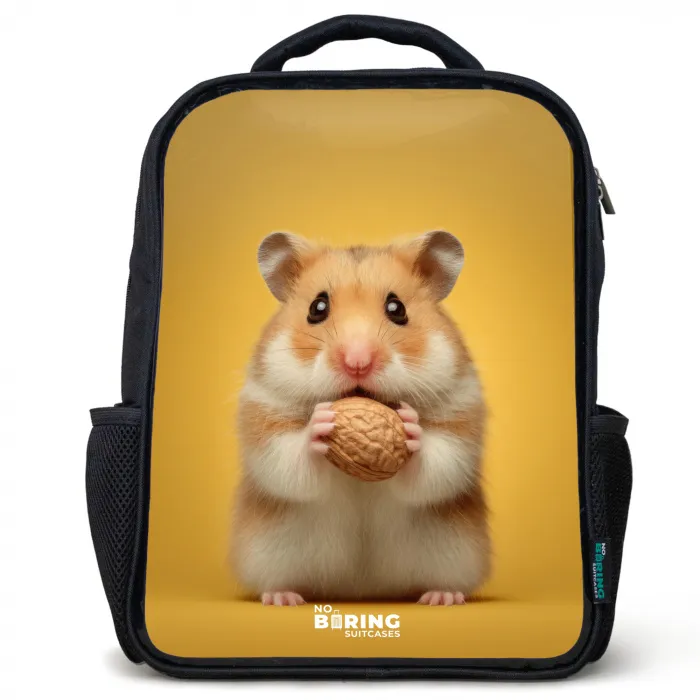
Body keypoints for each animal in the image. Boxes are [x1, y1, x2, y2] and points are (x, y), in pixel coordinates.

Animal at [231, 230, 490, 606]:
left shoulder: (460, 414)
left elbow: (438, 463)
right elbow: (287, 461)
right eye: (317, 308)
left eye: (397, 309)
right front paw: (320, 424)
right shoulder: (263, 413)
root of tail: (362, 590)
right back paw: (283, 597)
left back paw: (442, 597)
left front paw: (410, 426)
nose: (357, 362)